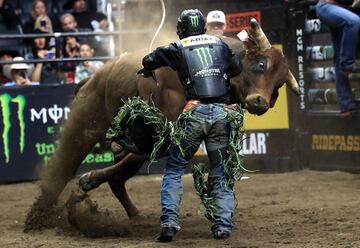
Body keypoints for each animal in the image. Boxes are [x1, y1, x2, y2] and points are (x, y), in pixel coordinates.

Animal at [25, 19, 300, 229]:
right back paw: (39, 216)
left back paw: (134, 214)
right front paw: (89, 178)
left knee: (119, 178)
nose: (260, 102)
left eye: (277, 87)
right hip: (84, 126)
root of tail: (91, 79)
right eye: (261, 65)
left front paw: (93, 177)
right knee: (64, 168)